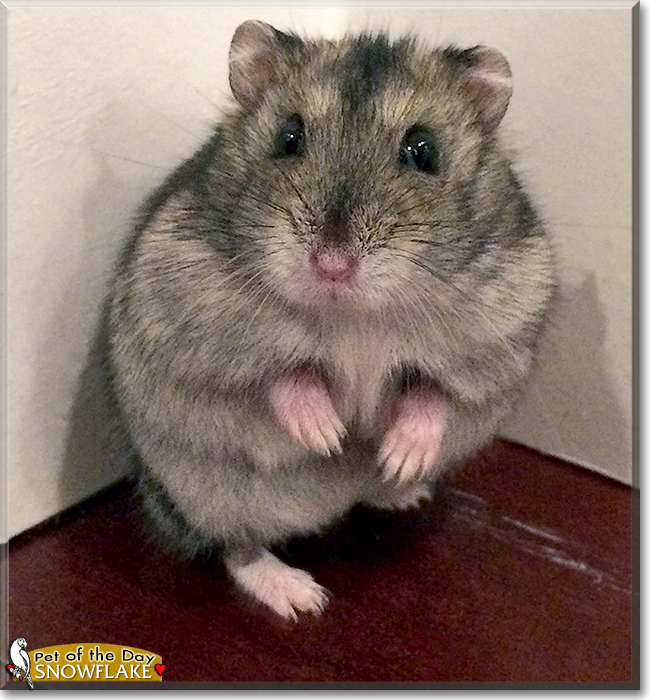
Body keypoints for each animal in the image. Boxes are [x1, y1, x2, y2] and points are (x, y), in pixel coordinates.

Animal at [107, 20, 556, 620]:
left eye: (423, 151)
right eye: (288, 137)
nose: (333, 265)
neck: (354, 316)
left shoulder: (494, 339)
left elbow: (433, 392)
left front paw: (398, 457)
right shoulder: (195, 322)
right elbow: (283, 375)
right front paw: (329, 437)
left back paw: (400, 488)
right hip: (208, 493)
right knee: (236, 547)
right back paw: (301, 597)